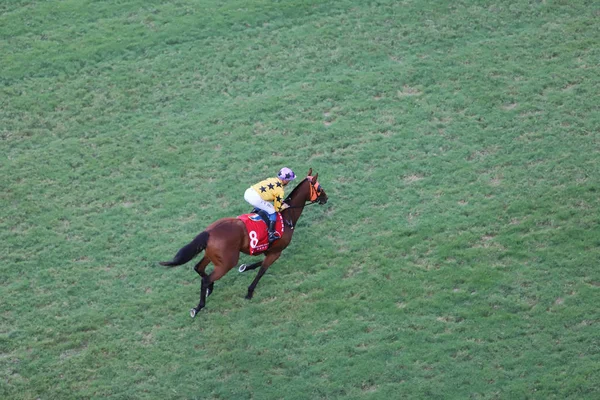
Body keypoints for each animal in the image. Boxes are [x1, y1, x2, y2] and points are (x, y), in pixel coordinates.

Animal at [159, 167, 328, 318]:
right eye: (319, 188)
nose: (326, 198)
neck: (287, 217)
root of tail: (210, 232)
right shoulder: (276, 252)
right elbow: (262, 270)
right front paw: (249, 292)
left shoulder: (268, 250)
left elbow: (258, 264)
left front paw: (245, 267)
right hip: (227, 262)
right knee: (206, 279)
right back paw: (198, 307)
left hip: (212, 256)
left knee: (198, 268)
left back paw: (209, 290)